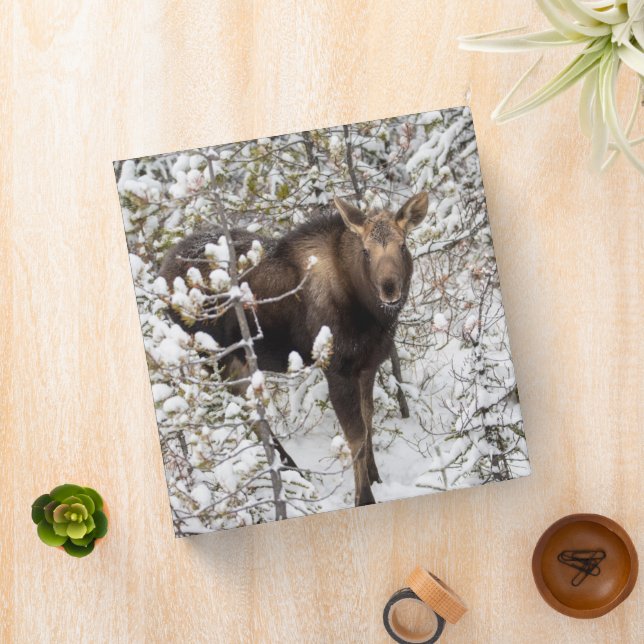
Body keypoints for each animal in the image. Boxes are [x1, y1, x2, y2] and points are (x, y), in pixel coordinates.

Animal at [160, 192, 429, 506]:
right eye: (366, 251)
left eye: (403, 245)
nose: (389, 288)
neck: (372, 315)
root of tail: (162, 273)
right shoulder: (337, 368)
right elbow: (356, 436)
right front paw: (364, 498)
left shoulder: (368, 365)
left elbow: (369, 420)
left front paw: (375, 477)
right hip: (217, 358)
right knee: (247, 414)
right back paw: (291, 471)